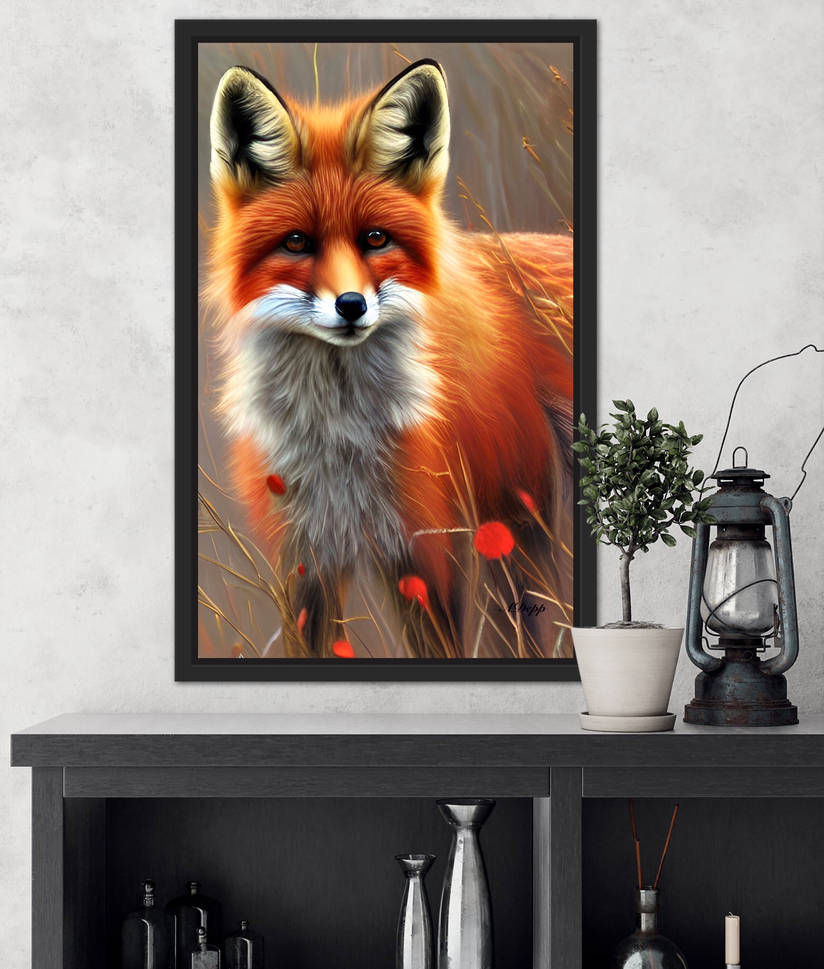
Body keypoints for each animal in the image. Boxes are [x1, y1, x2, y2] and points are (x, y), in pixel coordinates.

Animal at [206, 58, 574, 658]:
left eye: (376, 239)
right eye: (297, 242)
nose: (351, 305)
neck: (337, 436)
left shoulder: (424, 556)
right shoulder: (304, 566)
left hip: (511, 527)